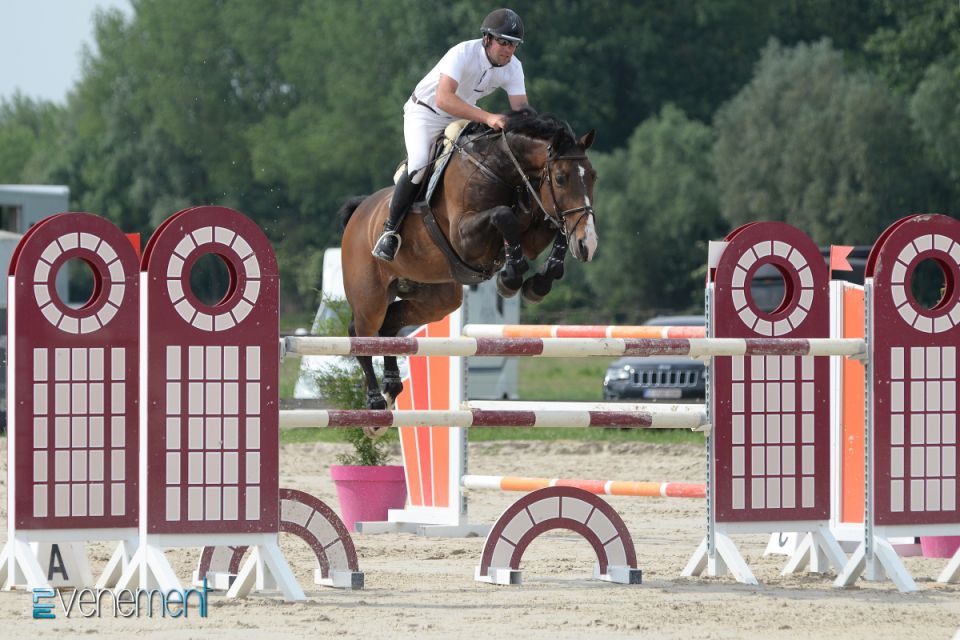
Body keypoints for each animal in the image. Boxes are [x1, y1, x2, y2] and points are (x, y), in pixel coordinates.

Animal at [336, 110, 592, 410]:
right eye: (561, 178)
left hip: (436, 298)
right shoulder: (464, 239)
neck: (498, 169)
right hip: (370, 296)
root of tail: (359, 211)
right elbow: (503, 215)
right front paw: (510, 277)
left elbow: (551, 228)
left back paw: (392, 386)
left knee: (389, 324)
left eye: (593, 177)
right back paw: (376, 400)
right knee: (361, 331)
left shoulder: (531, 233)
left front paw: (538, 283)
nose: (587, 244)